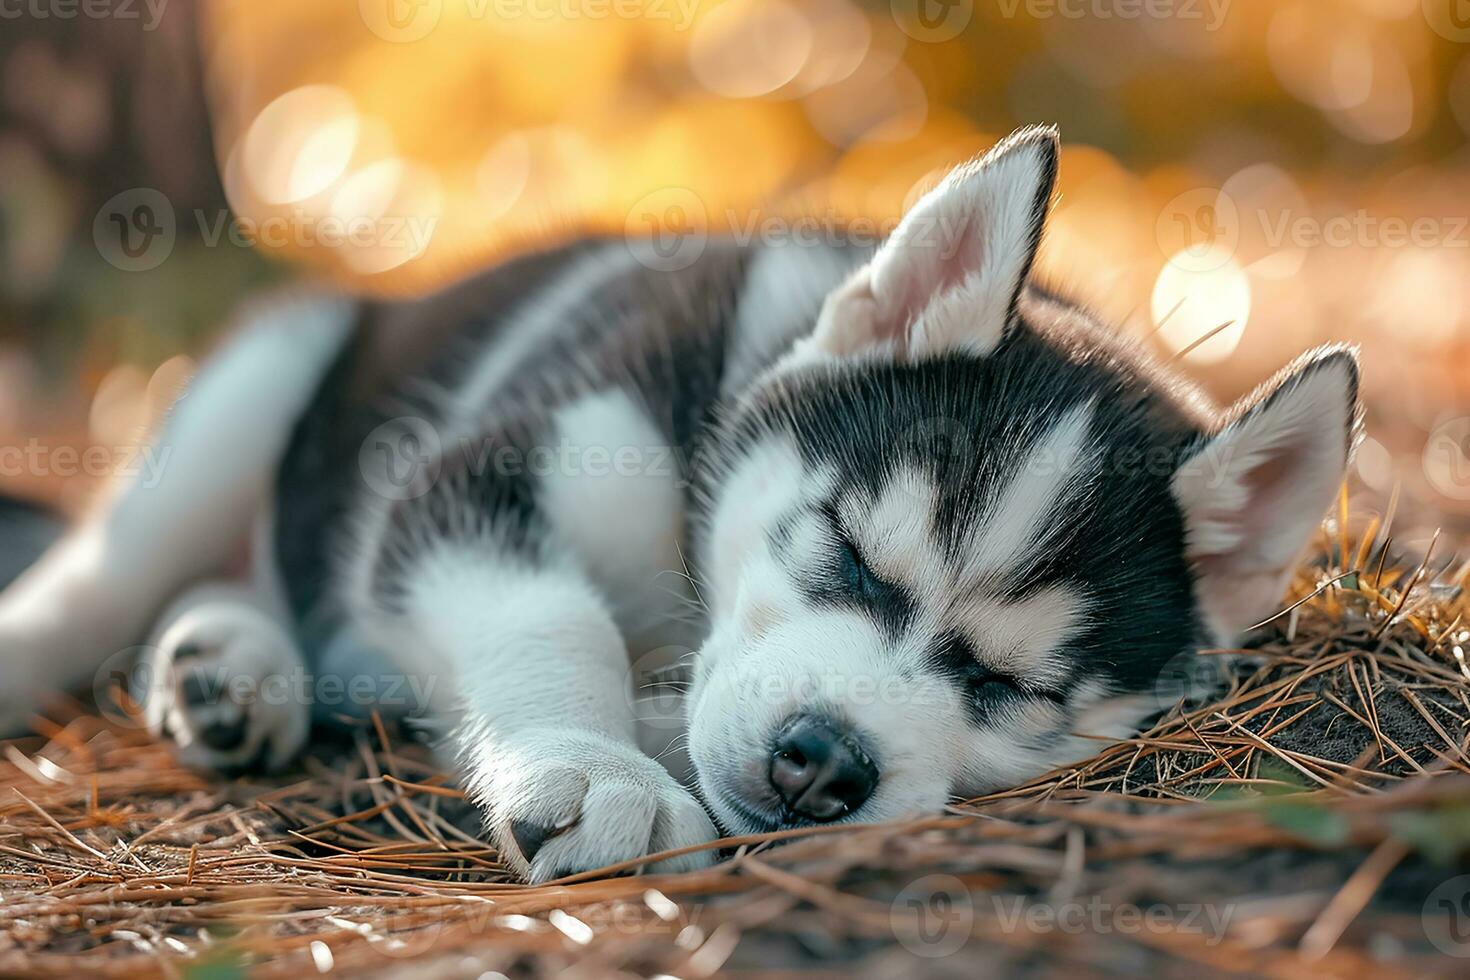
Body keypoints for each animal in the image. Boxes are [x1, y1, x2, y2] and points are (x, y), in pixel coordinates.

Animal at [0, 128, 1358, 881]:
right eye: (849, 555)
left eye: (1011, 687)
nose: (822, 762)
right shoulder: (472, 477)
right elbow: (553, 617)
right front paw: (597, 760)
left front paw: (651, 730)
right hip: (263, 385)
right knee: (111, 571)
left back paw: (230, 661)